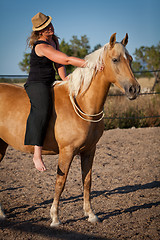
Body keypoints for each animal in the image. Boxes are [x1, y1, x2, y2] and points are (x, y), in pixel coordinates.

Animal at [0, 32, 140, 226]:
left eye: (131, 59)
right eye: (115, 59)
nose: (134, 89)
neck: (81, 102)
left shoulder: (89, 150)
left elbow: (87, 181)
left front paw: (91, 214)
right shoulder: (67, 152)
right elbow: (61, 182)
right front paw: (55, 218)